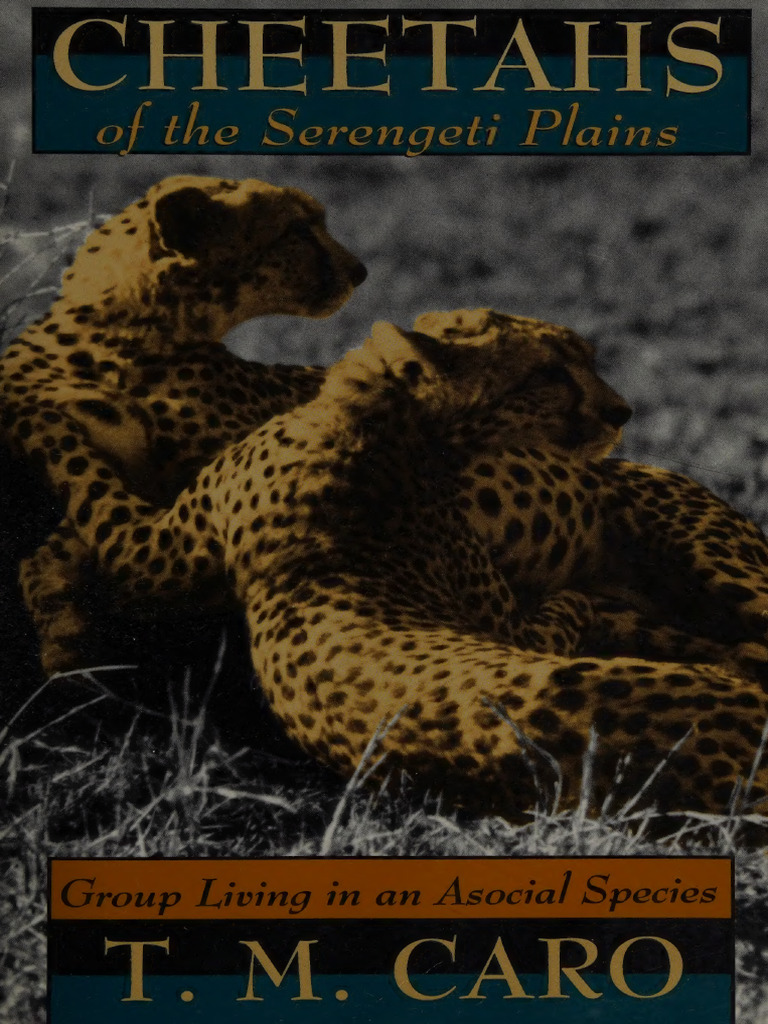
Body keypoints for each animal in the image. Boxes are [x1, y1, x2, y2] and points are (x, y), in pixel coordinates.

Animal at [32, 312, 768, 818]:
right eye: (546, 373)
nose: (622, 410)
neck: (385, 420)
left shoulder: (148, 547)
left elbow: (88, 483)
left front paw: (54, 419)